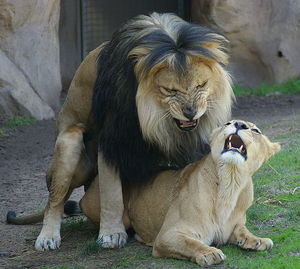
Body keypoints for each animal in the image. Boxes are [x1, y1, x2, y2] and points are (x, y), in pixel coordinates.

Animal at [5, 13, 233, 250]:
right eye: (170, 90)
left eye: (201, 85)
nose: (190, 112)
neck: (156, 119)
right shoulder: (112, 137)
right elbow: (111, 192)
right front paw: (111, 234)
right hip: (70, 141)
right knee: (55, 199)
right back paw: (48, 237)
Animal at [80, 120, 282, 266]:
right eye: (228, 123)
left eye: (255, 130)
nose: (239, 125)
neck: (230, 182)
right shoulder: (168, 234)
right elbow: (191, 243)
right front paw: (209, 253)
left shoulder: (232, 227)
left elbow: (243, 231)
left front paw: (257, 240)